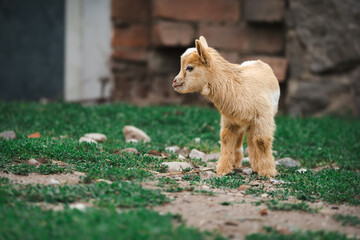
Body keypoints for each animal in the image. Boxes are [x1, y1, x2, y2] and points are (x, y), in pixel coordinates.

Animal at [174, 36, 282, 177]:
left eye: (190, 68)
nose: (175, 82)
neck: (239, 87)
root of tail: (256, 61)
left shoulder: (263, 117)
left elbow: (262, 141)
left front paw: (267, 172)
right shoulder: (229, 119)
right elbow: (226, 138)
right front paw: (223, 169)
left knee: (252, 138)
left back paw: (256, 166)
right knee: (243, 136)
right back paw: (239, 163)